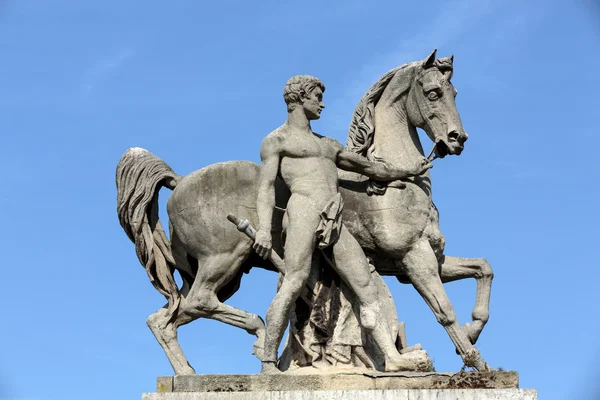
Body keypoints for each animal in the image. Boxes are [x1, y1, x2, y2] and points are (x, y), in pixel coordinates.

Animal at [116, 48, 492, 374]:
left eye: (454, 91)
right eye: (433, 93)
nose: (457, 139)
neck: (396, 184)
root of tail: (179, 181)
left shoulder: (417, 260)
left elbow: (483, 269)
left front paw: (474, 329)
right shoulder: (412, 254)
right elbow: (443, 308)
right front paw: (475, 359)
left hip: (216, 275)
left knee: (165, 318)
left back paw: (190, 373)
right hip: (224, 260)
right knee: (198, 302)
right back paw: (259, 335)